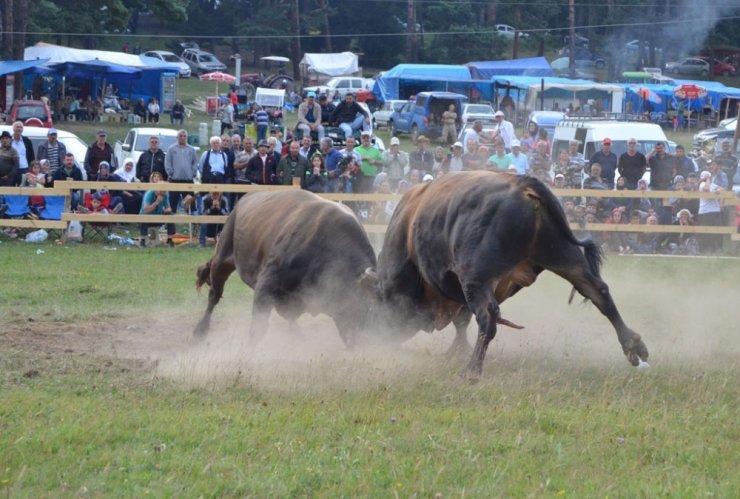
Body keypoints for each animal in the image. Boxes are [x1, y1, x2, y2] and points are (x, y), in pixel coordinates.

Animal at [194, 189, 376, 350]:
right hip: (222, 259)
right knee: (214, 296)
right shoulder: (266, 285)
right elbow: (258, 328)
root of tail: (242, 201)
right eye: (360, 304)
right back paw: (200, 330)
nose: (362, 341)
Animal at [376, 172, 648, 378]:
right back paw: (633, 346)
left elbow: (462, 320)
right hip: (564, 256)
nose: (379, 338)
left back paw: (472, 371)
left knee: (488, 316)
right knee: (598, 291)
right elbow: (462, 322)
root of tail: (525, 184)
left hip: (478, 277)